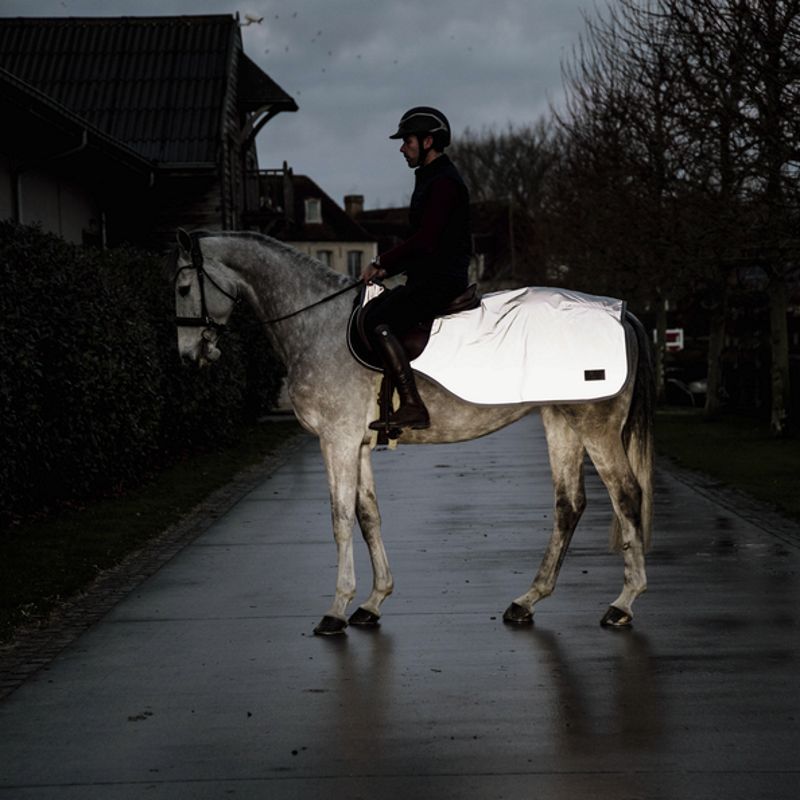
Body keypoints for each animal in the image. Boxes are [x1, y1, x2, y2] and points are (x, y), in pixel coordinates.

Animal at [172, 229, 654, 636]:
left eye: (182, 289)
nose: (189, 354)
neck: (318, 326)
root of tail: (622, 314)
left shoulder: (337, 441)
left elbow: (340, 518)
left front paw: (336, 610)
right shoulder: (357, 445)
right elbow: (368, 516)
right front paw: (372, 602)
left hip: (595, 426)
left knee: (626, 496)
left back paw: (622, 604)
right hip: (561, 422)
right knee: (569, 505)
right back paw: (527, 600)